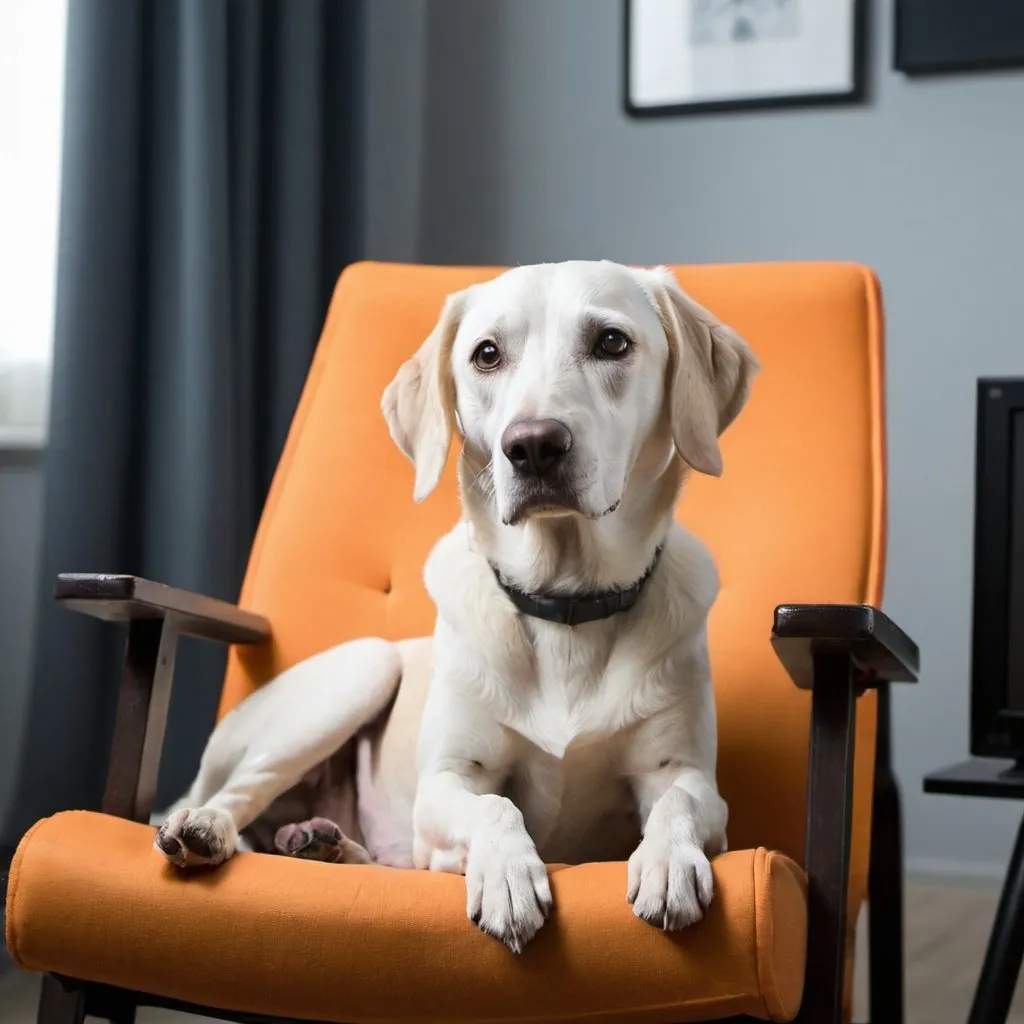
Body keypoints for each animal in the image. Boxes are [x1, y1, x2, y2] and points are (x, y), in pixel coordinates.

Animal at [153, 260, 761, 954]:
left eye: (612, 342)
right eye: (486, 354)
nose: (533, 445)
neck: (565, 604)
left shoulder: (686, 775)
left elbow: (676, 804)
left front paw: (668, 862)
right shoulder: (446, 783)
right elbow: (496, 805)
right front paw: (508, 876)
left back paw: (318, 844)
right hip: (357, 673)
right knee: (239, 791)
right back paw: (205, 829)